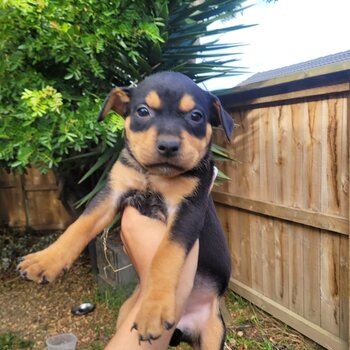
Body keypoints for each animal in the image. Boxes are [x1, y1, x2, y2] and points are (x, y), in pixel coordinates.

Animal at [18, 72, 232, 350]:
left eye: (196, 116)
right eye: (142, 111)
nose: (168, 146)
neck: (154, 175)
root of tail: (183, 329)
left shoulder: (188, 209)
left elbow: (167, 254)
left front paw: (154, 309)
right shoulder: (112, 193)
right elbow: (80, 225)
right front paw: (44, 260)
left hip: (213, 332)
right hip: (125, 310)